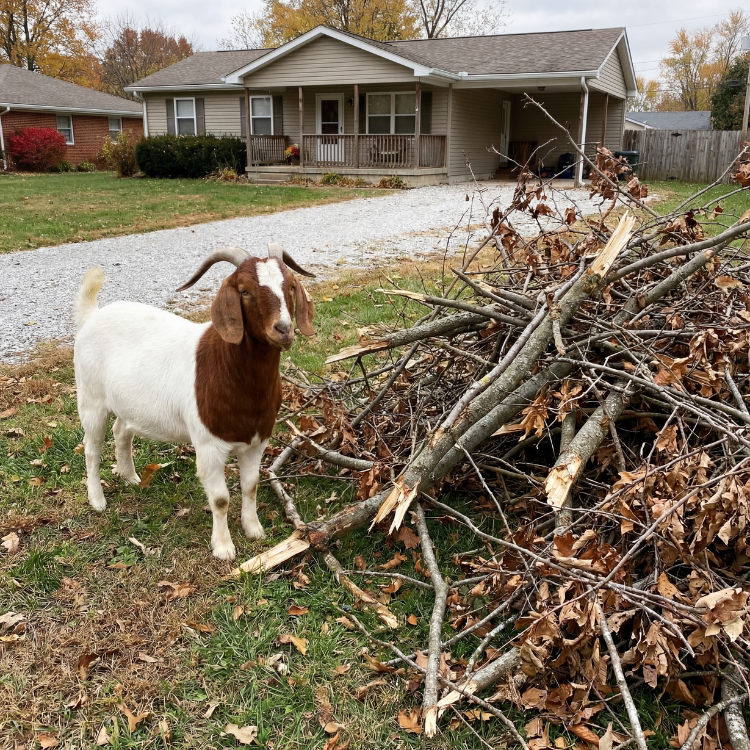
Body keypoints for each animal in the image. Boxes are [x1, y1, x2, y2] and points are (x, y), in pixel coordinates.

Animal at [73, 245, 315, 560]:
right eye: (245, 291)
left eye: (290, 286)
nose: (284, 329)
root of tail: (92, 316)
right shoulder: (208, 446)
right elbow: (221, 499)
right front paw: (224, 548)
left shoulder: (257, 441)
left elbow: (250, 486)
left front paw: (254, 530)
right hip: (91, 399)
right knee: (91, 448)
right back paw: (98, 500)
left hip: (128, 402)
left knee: (122, 431)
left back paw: (130, 477)